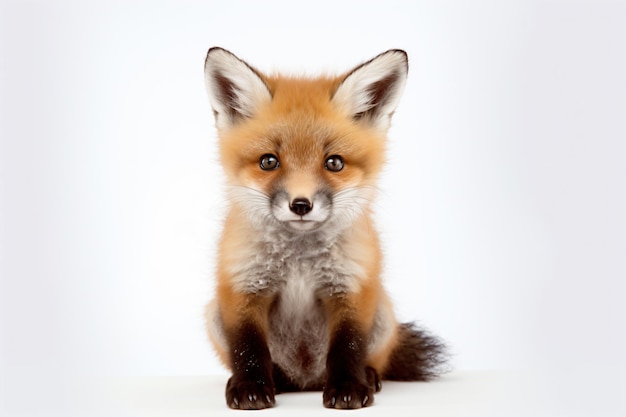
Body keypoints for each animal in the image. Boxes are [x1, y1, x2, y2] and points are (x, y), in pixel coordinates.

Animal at [202, 47, 446, 408]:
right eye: (268, 162)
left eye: (334, 163)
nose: (301, 205)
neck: (299, 260)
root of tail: (307, 380)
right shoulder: (243, 287)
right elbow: (248, 349)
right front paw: (250, 387)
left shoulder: (351, 288)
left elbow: (348, 347)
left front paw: (349, 387)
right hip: (214, 315)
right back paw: (277, 380)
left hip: (383, 316)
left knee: (369, 358)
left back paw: (369, 377)